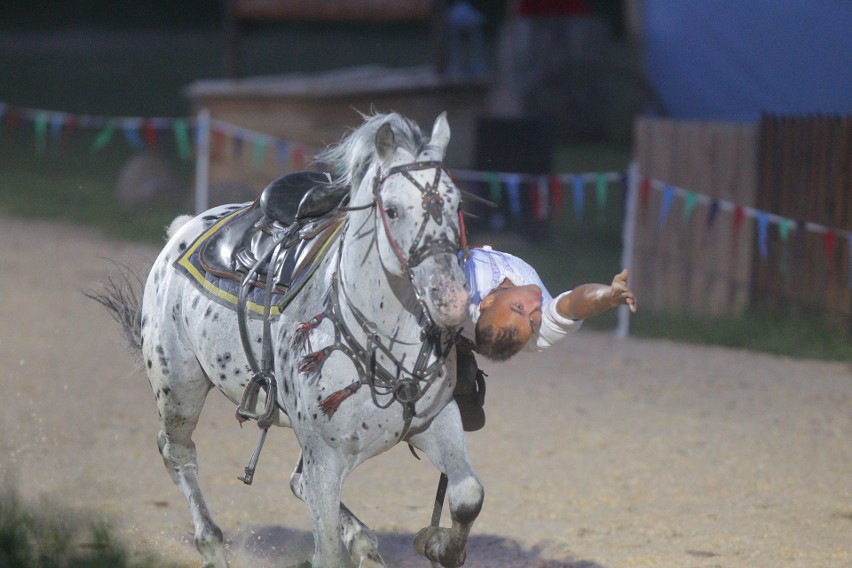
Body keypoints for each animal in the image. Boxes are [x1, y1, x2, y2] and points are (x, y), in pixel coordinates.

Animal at [95, 113, 482, 564]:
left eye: (456, 204)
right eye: (392, 208)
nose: (451, 299)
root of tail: (182, 229)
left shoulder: (436, 420)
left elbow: (468, 495)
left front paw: (439, 545)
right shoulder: (324, 458)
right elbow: (327, 552)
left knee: (296, 483)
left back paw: (364, 544)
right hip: (178, 387)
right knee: (177, 453)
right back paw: (212, 546)